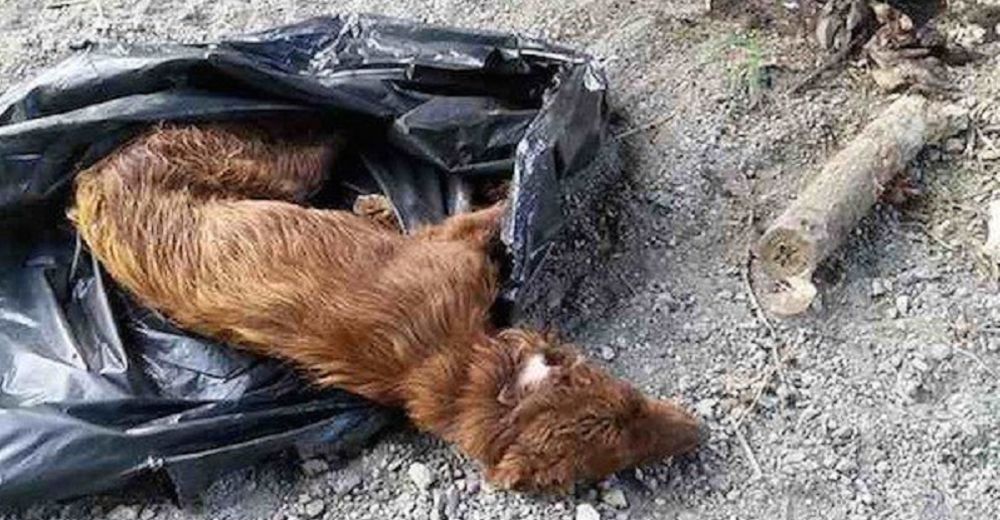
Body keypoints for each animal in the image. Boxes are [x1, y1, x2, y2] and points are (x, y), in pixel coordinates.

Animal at [70, 121, 700, 492]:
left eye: (628, 403)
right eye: (619, 438)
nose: (699, 433)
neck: (451, 363)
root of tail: (89, 183)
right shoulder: (447, 248)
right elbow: (486, 218)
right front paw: (516, 188)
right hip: (257, 166)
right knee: (306, 144)